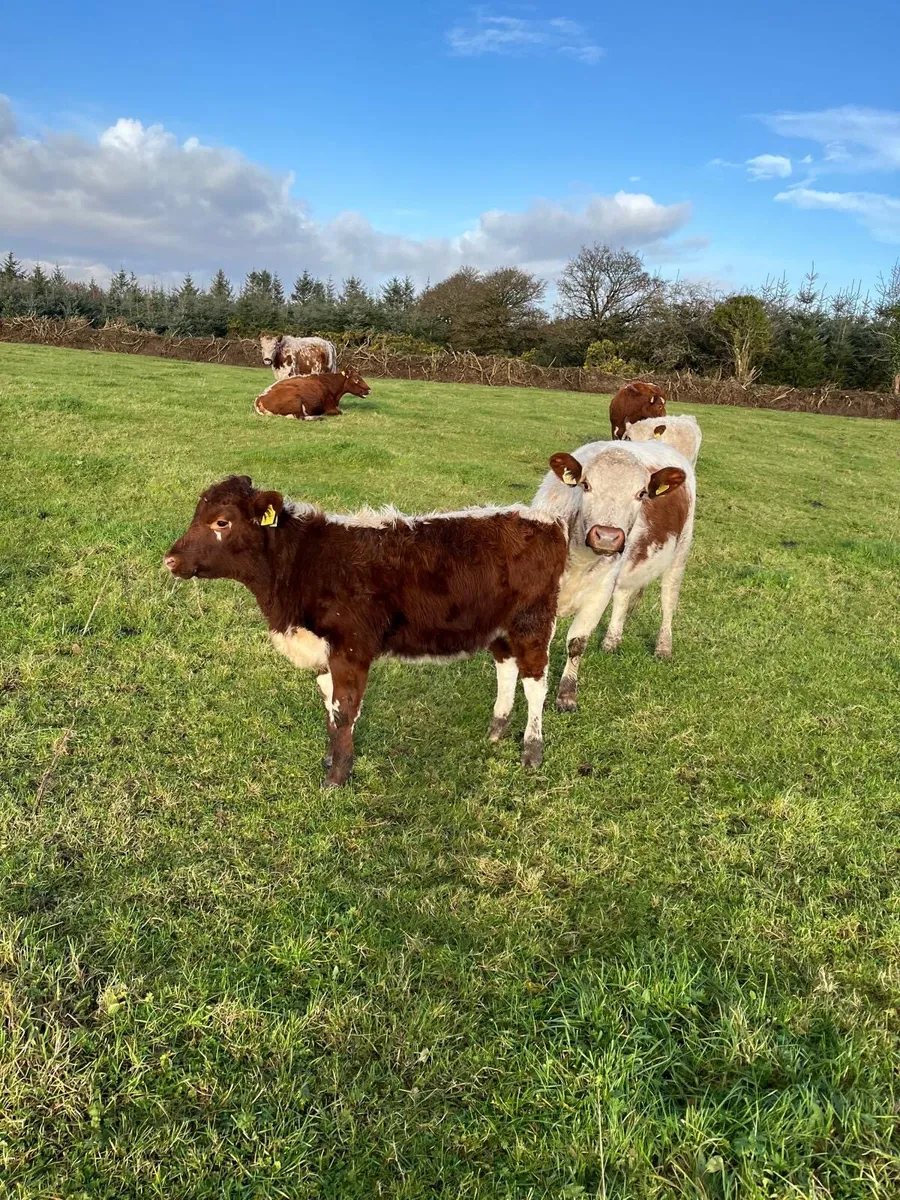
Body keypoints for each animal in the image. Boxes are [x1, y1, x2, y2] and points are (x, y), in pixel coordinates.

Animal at [164, 476, 568, 786]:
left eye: (222, 522)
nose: (170, 559)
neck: (304, 563)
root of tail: (546, 520)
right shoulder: (324, 653)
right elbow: (329, 707)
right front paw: (332, 760)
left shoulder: (351, 648)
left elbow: (344, 710)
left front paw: (337, 776)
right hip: (498, 627)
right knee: (507, 668)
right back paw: (497, 730)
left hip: (532, 621)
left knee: (535, 681)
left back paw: (532, 750)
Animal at [533, 440, 695, 711]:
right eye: (586, 485)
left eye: (641, 493)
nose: (608, 537)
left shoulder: (598, 594)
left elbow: (577, 642)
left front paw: (566, 696)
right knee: (623, 596)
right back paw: (611, 641)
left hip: (679, 554)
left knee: (668, 600)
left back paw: (663, 647)